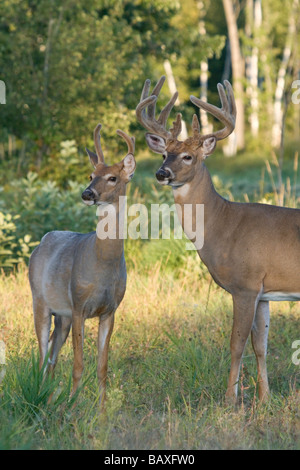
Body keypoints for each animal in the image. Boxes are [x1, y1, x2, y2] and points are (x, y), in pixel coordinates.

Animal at [28, 124, 136, 408]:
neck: (103, 265)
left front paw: (101, 410)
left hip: (62, 316)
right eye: (90, 175)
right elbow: (78, 365)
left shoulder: (110, 310)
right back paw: (41, 397)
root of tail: (42, 241)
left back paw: (49, 398)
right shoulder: (78, 306)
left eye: (112, 178)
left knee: (52, 357)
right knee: (42, 354)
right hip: (40, 301)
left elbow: (102, 366)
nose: (87, 193)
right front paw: (73, 405)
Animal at [136, 74, 300, 404]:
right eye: (164, 153)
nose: (162, 173)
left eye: (188, 156)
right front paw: (264, 398)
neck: (224, 225)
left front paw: (230, 399)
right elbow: (261, 346)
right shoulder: (264, 292)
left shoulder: (245, 285)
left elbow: (236, 345)